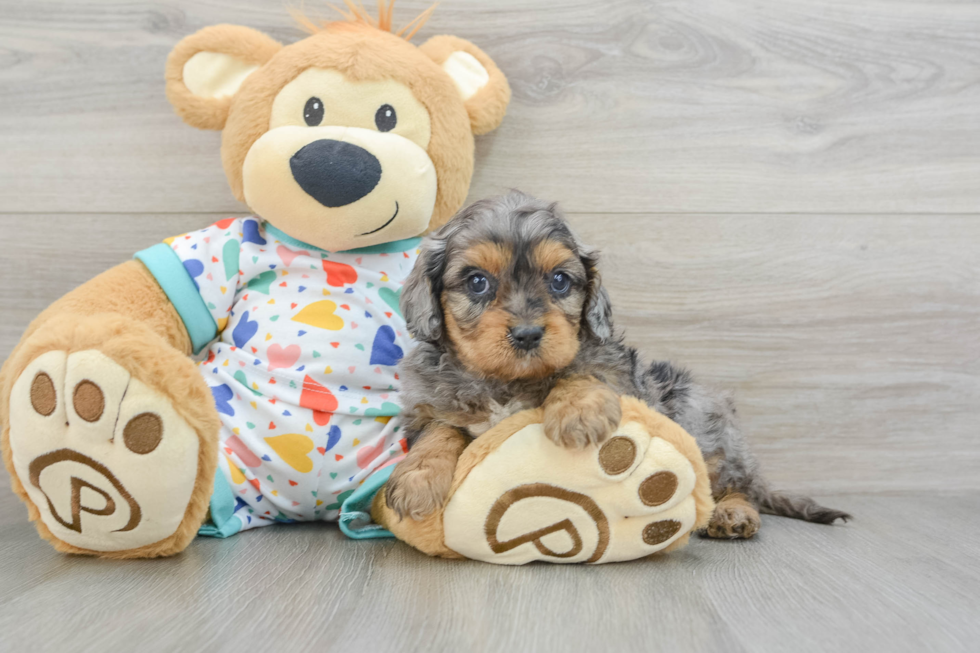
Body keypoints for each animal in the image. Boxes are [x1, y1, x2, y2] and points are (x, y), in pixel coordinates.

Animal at [384, 191, 848, 536]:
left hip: (702, 417)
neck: (507, 382)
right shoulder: (427, 406)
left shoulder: (618, 374)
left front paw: (577, 410)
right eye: (477, 281)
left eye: (560, 280)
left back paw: (734, 513)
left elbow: (581, 368)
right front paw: (418, 479)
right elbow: (439, 431)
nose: (529, 334)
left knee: (734, 484)